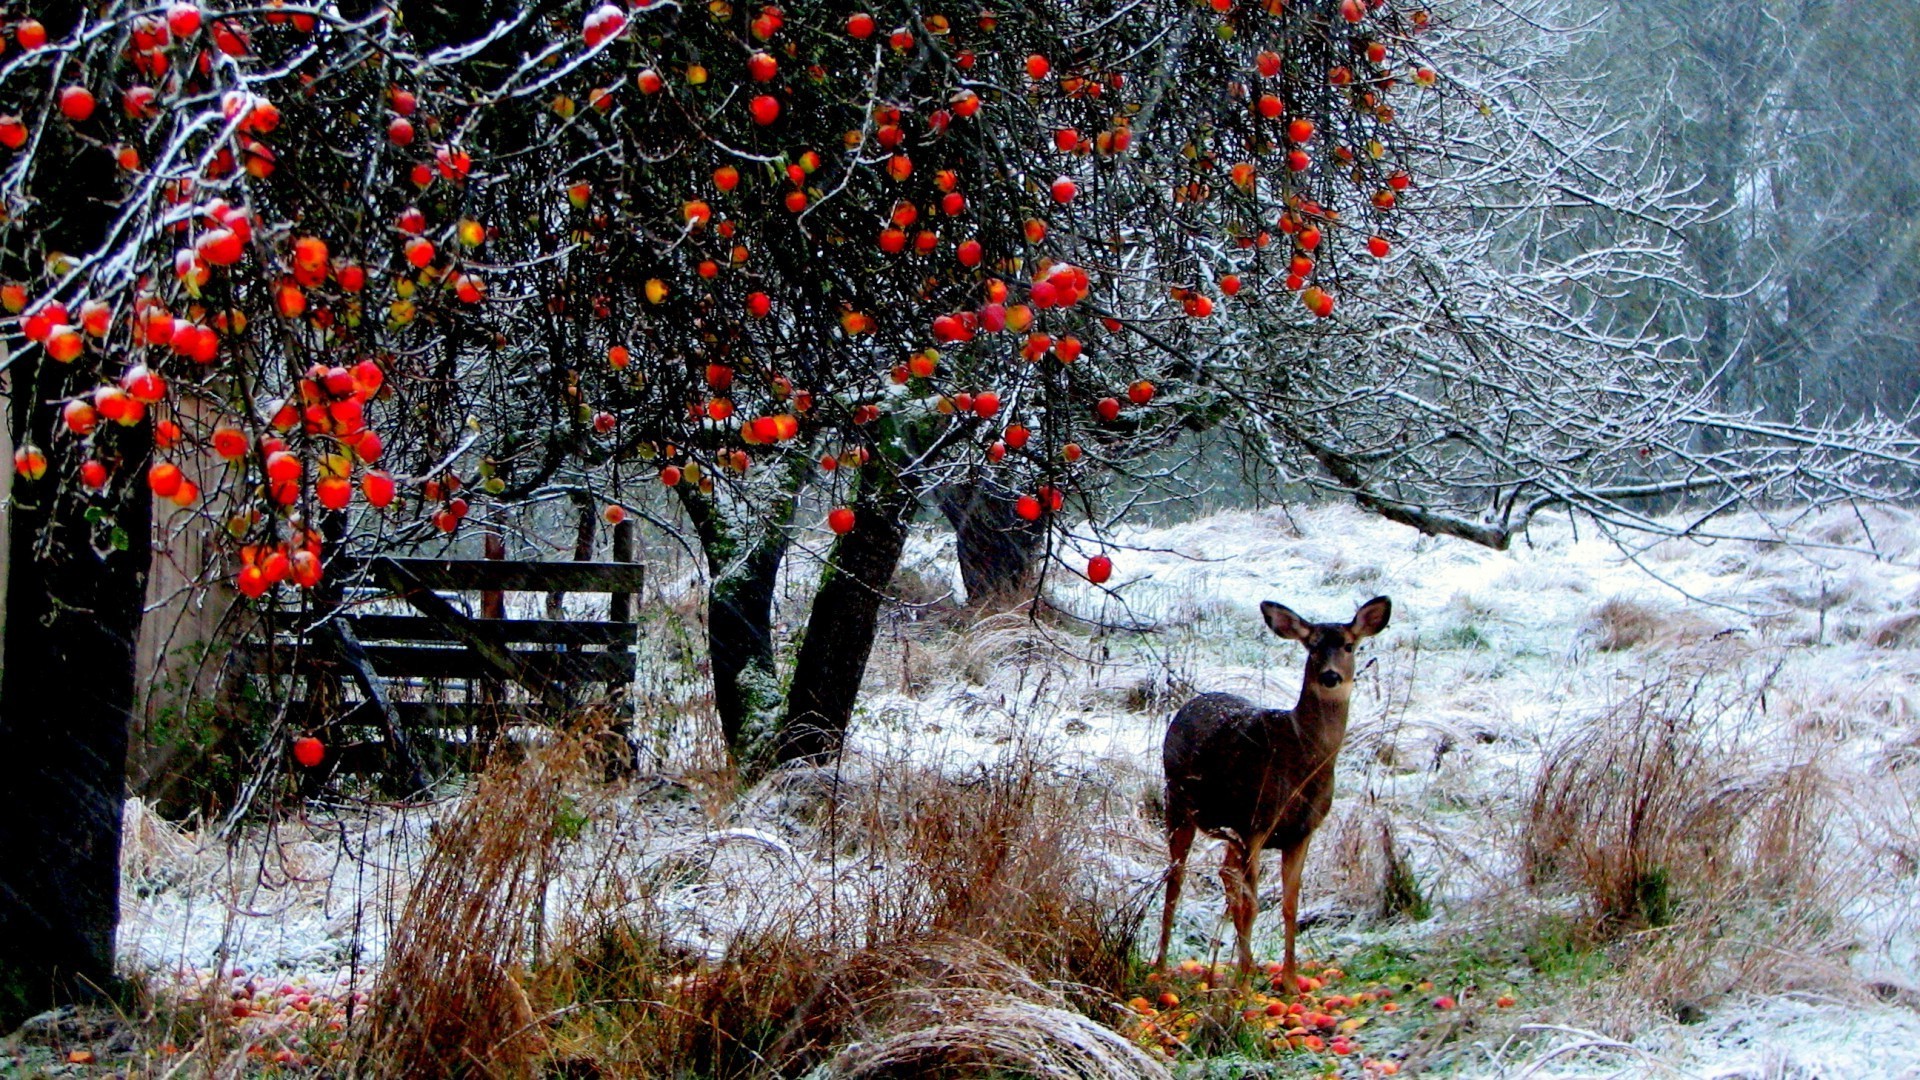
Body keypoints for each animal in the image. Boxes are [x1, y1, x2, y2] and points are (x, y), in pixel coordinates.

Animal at [1144, 591, 1390, 991]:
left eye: (1349, 646)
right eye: (1312, 646)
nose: (1331, 676)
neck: (1302, 761)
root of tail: (1192, 703)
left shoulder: (1301, 831)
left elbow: (1289, 905)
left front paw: (1288, 982)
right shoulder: (1258, 822)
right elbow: (1253, 904)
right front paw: (1243, 987)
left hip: (1230, 827)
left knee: (1224, 872)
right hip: (1178, 802)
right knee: (1176, 879)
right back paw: (1163, 966)